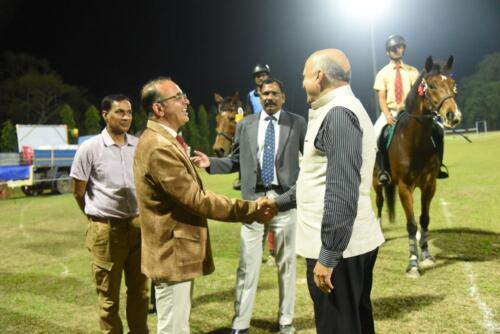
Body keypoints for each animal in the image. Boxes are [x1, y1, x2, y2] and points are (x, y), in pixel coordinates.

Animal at [376, 56, 460, 278]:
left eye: (452, 84)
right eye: (432, 86)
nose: (453, 115)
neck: (415, 141)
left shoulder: (429, 186)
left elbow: (423, 220)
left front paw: (426, 255)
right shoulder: (404, 187)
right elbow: (411, 224)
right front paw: (413, 263)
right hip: (376, 183)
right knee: (379, 203)